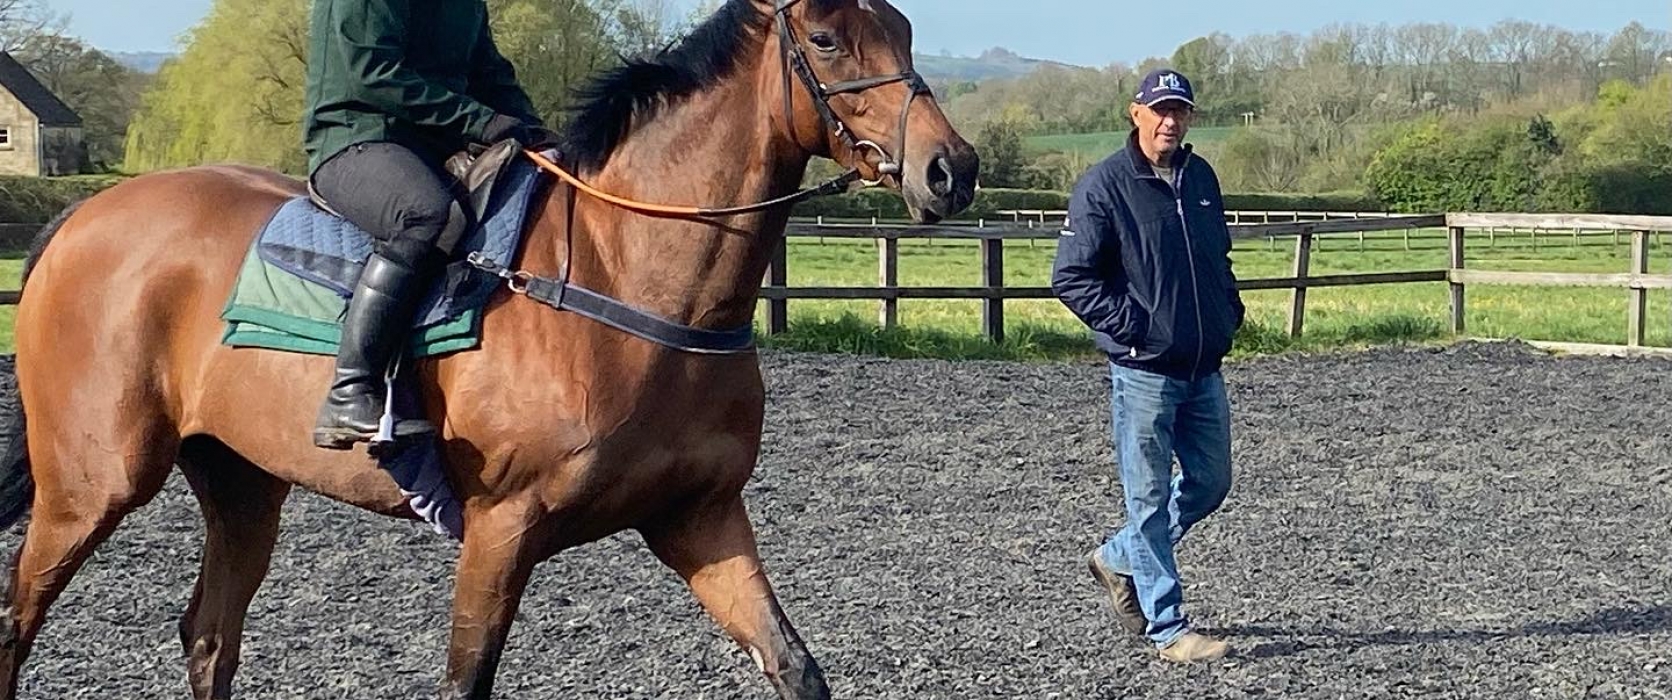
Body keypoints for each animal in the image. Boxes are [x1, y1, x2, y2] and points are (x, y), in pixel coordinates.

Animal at [0, 0, 977, 697]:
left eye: (902, 26)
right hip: (92, 486)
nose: (952, 169)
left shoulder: (700, 518)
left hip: (242, 483)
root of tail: (85, 216)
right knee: (17, 623)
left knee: (209, 635)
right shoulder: (500, 531)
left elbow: (794, 665)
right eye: (827, 38)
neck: (629, 278)